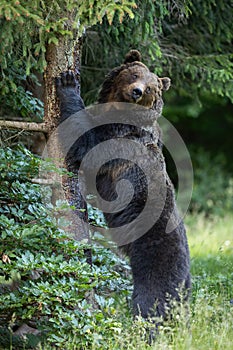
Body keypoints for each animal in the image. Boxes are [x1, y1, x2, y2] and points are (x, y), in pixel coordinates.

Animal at [55, 50, 190, 334]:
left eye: (150, 87)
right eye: (135, 74)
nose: (137, 91)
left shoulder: (115, 141)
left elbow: (85, 142)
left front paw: (68, 82)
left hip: (156, 258)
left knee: (152, 301)